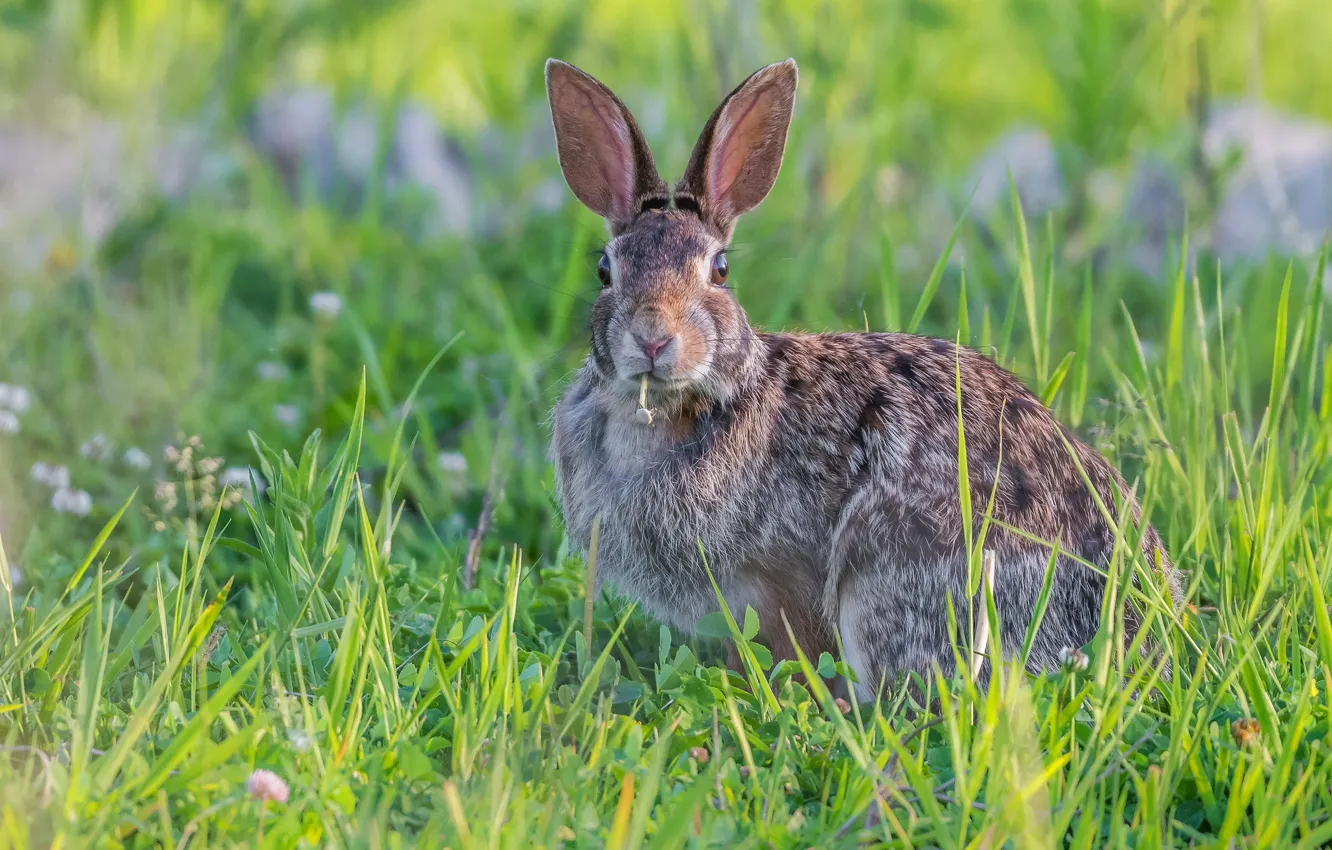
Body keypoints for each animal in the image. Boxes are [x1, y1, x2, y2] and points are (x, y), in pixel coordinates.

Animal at [545, 57, 1182, 700]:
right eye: (605, 271)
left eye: (719, 270)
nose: (652, 338)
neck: (674, 407)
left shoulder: (775, 585)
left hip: (888, 579)